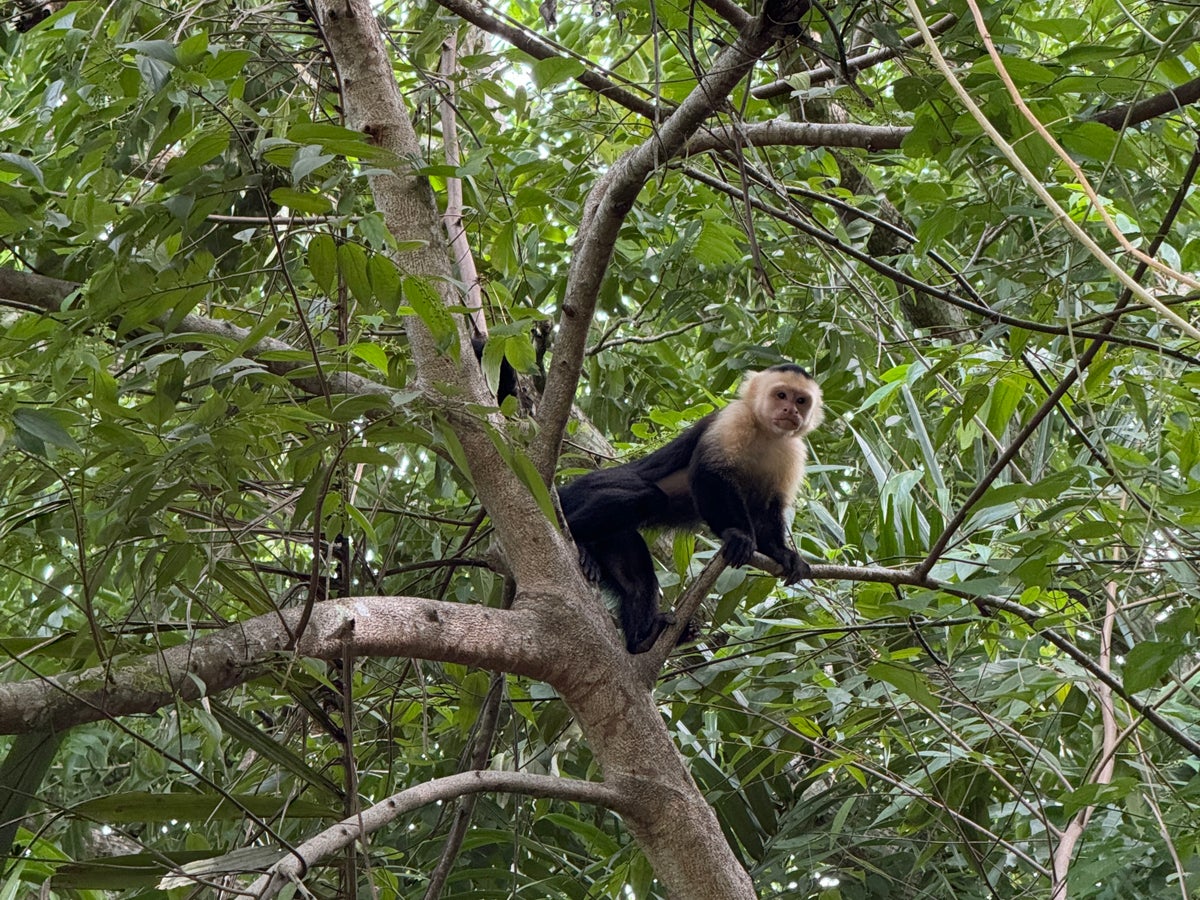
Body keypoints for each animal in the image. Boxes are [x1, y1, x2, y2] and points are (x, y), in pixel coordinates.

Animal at [554, 364, 820, 657]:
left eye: (801, 400)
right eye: (781, 395)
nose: (790, 411)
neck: (766, 433)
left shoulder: (791, 451)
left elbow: (768, 508)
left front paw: (782, 553)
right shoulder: (732, 420)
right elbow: (707, 473)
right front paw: (738, 535)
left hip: (614, 539)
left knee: (636, 583)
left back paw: (643, 639)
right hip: (590, 488)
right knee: (647, 497)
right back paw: (575, 536)